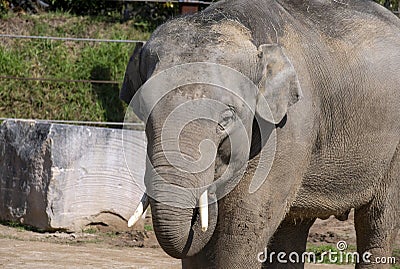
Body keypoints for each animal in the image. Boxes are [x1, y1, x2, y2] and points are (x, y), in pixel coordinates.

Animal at [119, 1, 400, 266]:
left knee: (378, 222)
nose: (212, 183)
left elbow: (242, 227)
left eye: (227, 118)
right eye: (143, 111)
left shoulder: (289, 125)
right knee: (292, 227)